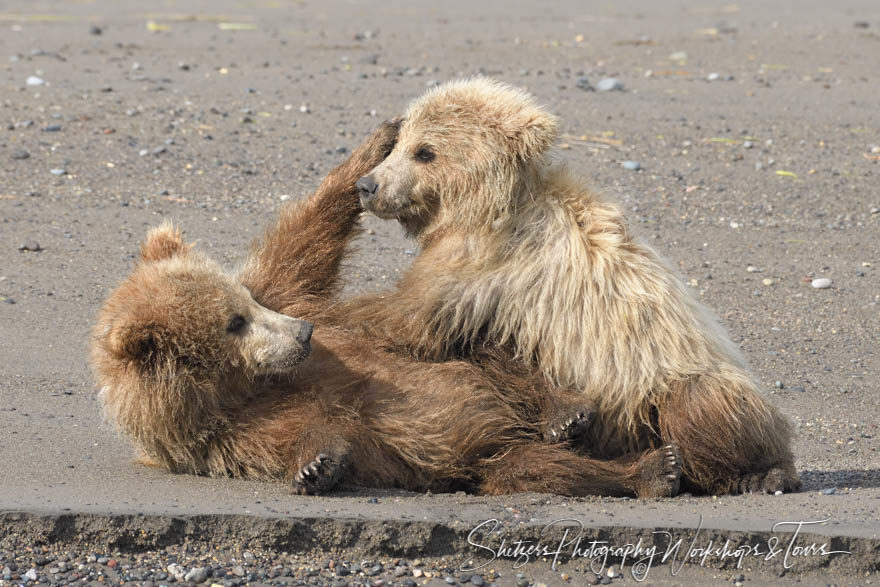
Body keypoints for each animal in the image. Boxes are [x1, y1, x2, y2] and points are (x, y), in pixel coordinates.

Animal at [89, 121, 680, 498]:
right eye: (233, 325)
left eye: (246, 303)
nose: (303, 334)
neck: (245, 386)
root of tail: (510, 430)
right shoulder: (225, 434)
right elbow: (302, 434)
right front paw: (317, 466)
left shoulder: (292, 296)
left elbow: (307, 243)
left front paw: (378, 141)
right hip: (486, 457)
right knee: (538, 470)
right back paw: (651, 468)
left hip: (471, 369)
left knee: (497, 360)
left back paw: (569, 413)